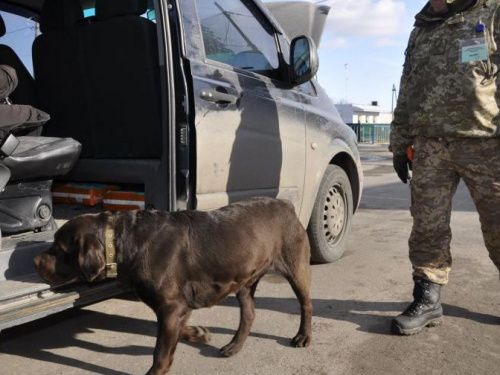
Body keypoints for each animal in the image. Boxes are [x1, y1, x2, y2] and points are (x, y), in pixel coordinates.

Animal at [33, 198, 310, 374]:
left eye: (59, 248)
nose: (35, 261)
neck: (122, 240)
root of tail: (286, 203)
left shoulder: (170, 307)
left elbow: (161, 354)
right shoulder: (177, 306)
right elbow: (180, 330)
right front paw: (197, 333)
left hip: (296, 267)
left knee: (306, 304)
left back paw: (303, 336)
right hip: (244, 279)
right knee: (249, 314)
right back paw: (234, 346)